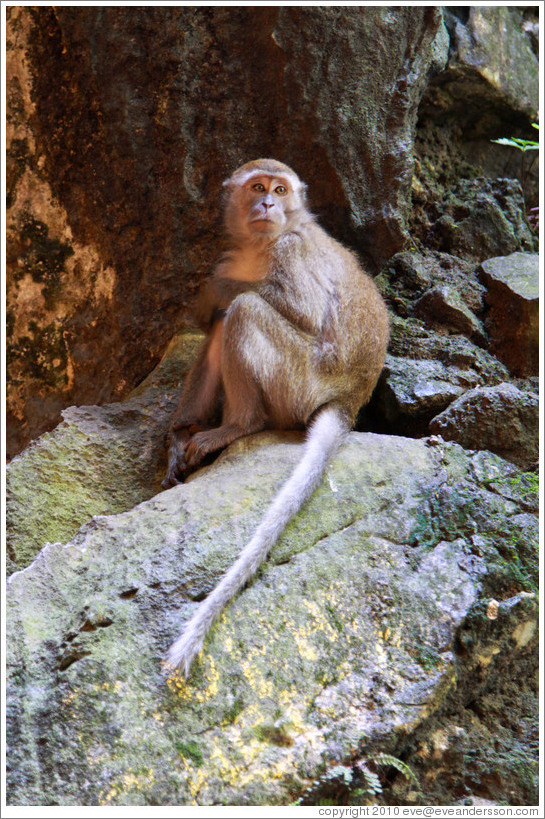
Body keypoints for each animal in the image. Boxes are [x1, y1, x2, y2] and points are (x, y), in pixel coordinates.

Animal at [160, 159, 386, 680]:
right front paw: (177, 436)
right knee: (227, 322)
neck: (262, 245)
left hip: (299, 382)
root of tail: (348, 400)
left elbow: (298, 309)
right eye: (258, 187)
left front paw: (212, 294)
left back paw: (238, 425)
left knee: (243, 310)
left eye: (280, 191)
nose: (267, 204)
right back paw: (191, 433)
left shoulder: (291, 251)